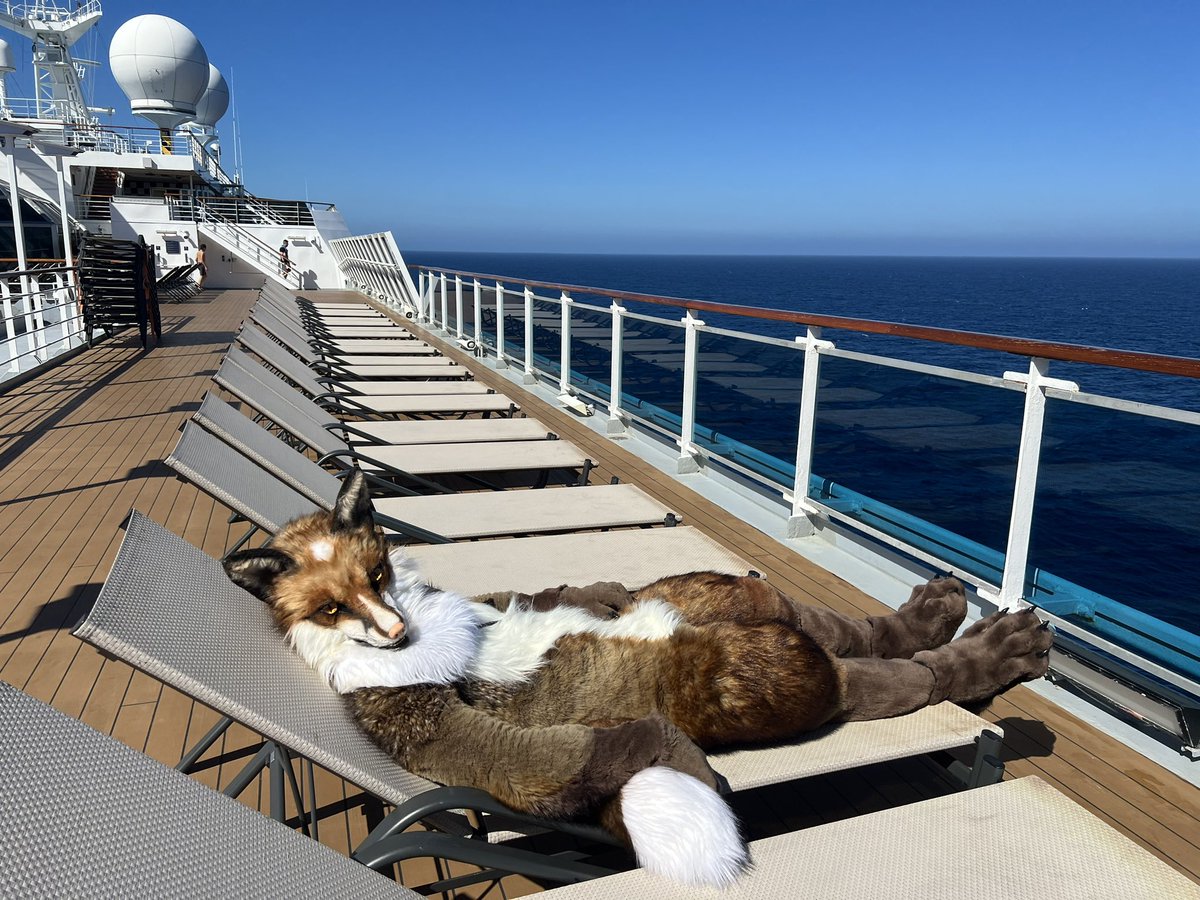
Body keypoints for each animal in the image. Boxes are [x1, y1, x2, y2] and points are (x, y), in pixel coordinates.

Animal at [224, 470, 1052, 887]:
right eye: (329, 606)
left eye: (377, 572)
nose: (396, 631)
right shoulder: (420, 717)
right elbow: (524, 755)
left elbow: (552, 597)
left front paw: (594, 596)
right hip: (764, 667)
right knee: (883, 675)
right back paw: (991, 654)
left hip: (727, 600)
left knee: (839, 629)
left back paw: (954, 616)